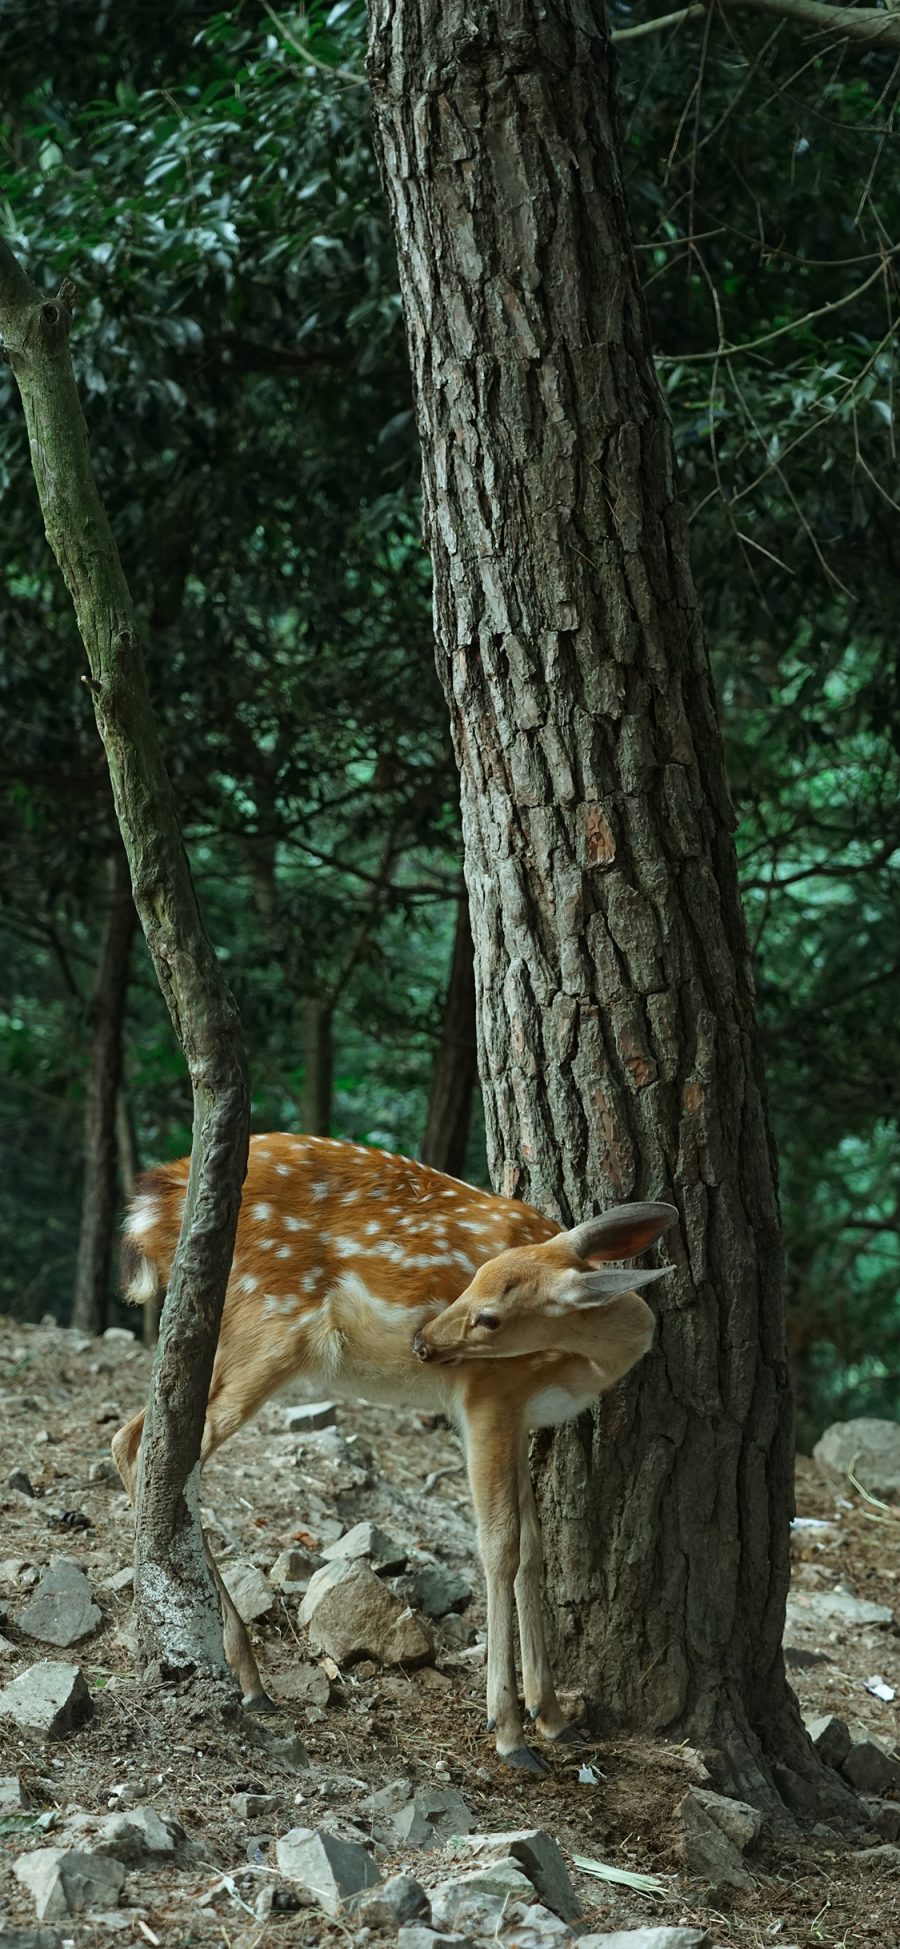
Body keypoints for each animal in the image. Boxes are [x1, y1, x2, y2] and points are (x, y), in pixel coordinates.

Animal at [114, 1138, 674, 1777]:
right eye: (472, 1282)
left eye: (490, 1311)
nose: (423, 1343)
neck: (582, 1364)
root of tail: (150, 1206)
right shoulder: (487, 1396)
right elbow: (499, 1547)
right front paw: (509, 1732)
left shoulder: (521, 1419)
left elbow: (534, 1551)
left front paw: (553, 1717)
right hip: (267, 1328)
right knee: (151, 1448)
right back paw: (249, 1679)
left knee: (138, 1437)